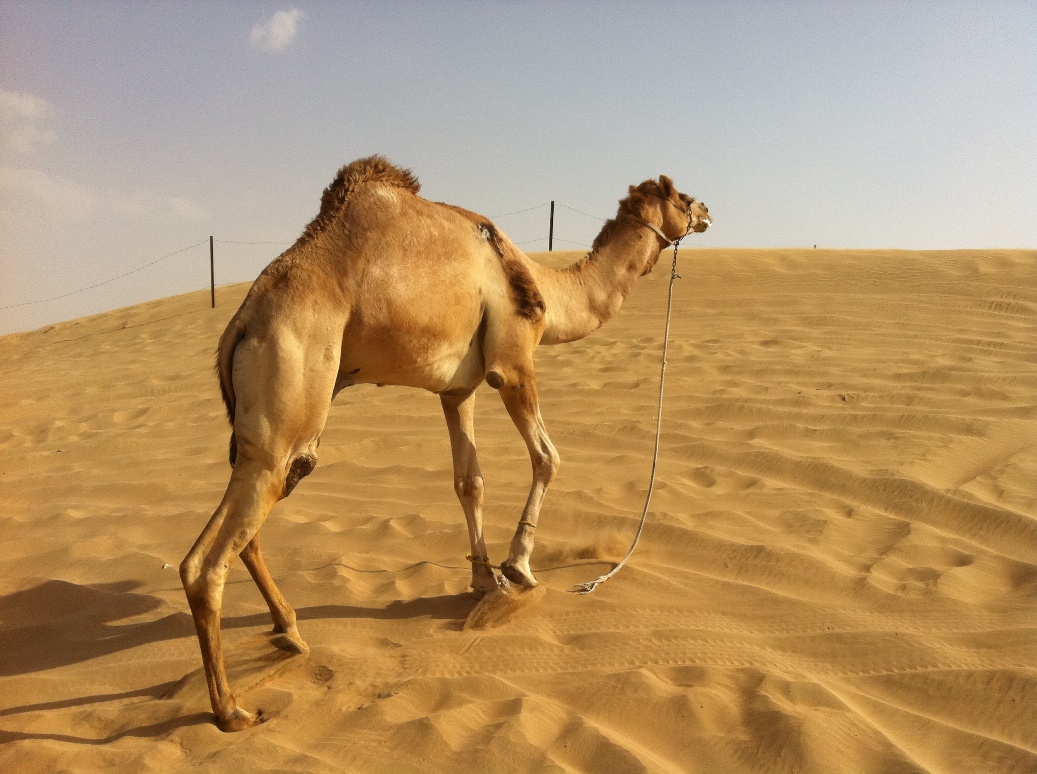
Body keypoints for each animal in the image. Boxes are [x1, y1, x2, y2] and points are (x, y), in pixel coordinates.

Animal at [180, 155, 710, 731]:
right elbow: (547, 457)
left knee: (240, 532)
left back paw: (290, 633)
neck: (543, 288)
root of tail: (240, 323)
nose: (707, 211)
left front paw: (483, 580)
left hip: (263, 436)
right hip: (291, 395)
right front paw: (519, 569)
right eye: (682, 196)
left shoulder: (458, 389)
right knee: (210, 561)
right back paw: (231, 708)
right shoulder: (512, 362)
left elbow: (469, 480)